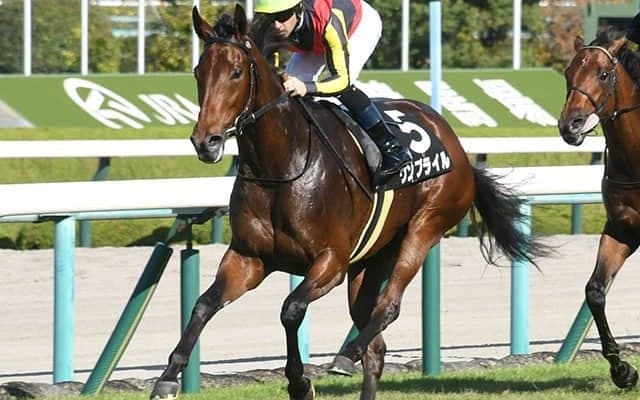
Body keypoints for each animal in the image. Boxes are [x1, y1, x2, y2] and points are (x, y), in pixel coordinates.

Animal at [150, 5, 548, 400]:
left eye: (235, 72)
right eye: (198, 71)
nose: (206, 141)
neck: (281, 165)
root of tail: (457, 147)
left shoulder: (332, 262)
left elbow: (291, 309)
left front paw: (299, 381)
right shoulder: (249, 258)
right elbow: (204, 305)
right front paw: (168, 376)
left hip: (425, 228)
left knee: (388, 307)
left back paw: (347, 353)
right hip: (370, 261)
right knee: (376, 345)